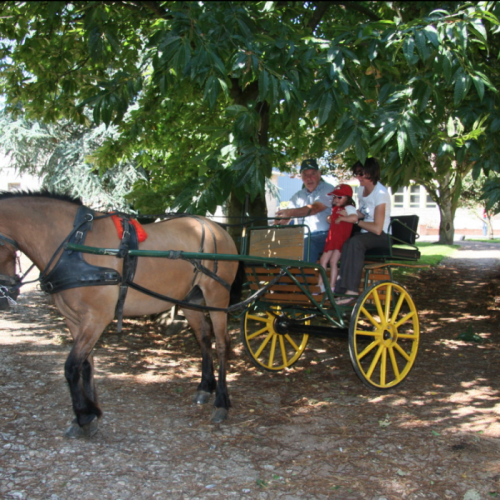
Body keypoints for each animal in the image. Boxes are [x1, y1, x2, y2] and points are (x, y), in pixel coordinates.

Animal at [0, 191, 239, 437]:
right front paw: (88, 416)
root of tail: (217, 228)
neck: (74, 245)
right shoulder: (74, 319)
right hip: (190, 301)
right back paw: (205, 387)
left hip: (217, 295)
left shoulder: (96, 318)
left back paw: (221, 402)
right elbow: (86, 363)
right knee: (204, 337)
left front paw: (84, 416)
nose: (7, 294)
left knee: (222, 343)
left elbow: (71, 366)